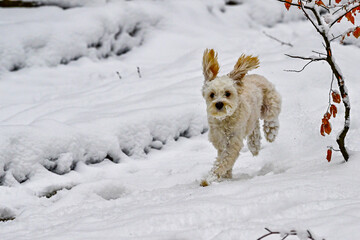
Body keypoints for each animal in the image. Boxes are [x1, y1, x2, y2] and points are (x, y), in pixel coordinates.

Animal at [200, 48, 282, 187]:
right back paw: (254, 145)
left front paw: (210, 178)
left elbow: (225, 161)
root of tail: (256, 76)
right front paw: (226, 176)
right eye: (212, 94)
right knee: (254, 127)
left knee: (272, 117)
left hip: (269, 105)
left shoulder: (233, 142)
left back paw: (270, 132)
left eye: (227, 93)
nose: (219, 104)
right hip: (252, 117)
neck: (225, 120)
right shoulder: (219, 141)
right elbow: (223, 159)